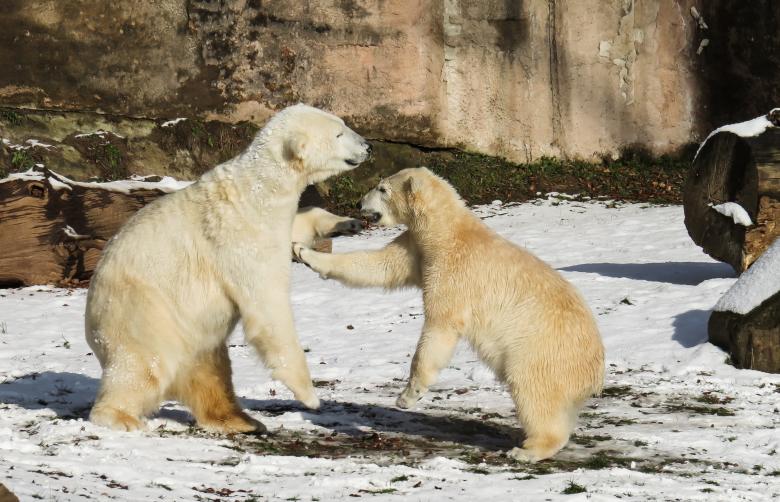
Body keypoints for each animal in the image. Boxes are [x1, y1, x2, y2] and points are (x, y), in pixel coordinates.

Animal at [85, 104, 371, 433]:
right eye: (338, 133)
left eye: (343, 124)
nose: (368, 146)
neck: (259, 189)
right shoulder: (241, 236)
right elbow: (268, 305)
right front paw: (309, 395)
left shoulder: (274, 220)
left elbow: (299, 223)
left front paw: (347, 222)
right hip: (142, 311)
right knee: (145, 364)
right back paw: (123, 418)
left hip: (191, 333)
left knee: (209, 367)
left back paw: (241, 420)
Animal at [293, 167, 605, 462]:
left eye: (382, 188)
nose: (359, 203)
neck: (445, 232)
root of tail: (595, 372)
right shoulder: (418, 249)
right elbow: (379, 266)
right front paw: (303, 251)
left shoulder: (454, 272)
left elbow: (439, 327)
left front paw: (407, 397)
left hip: (541, 349)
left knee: (532, 390)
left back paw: (528, 450)